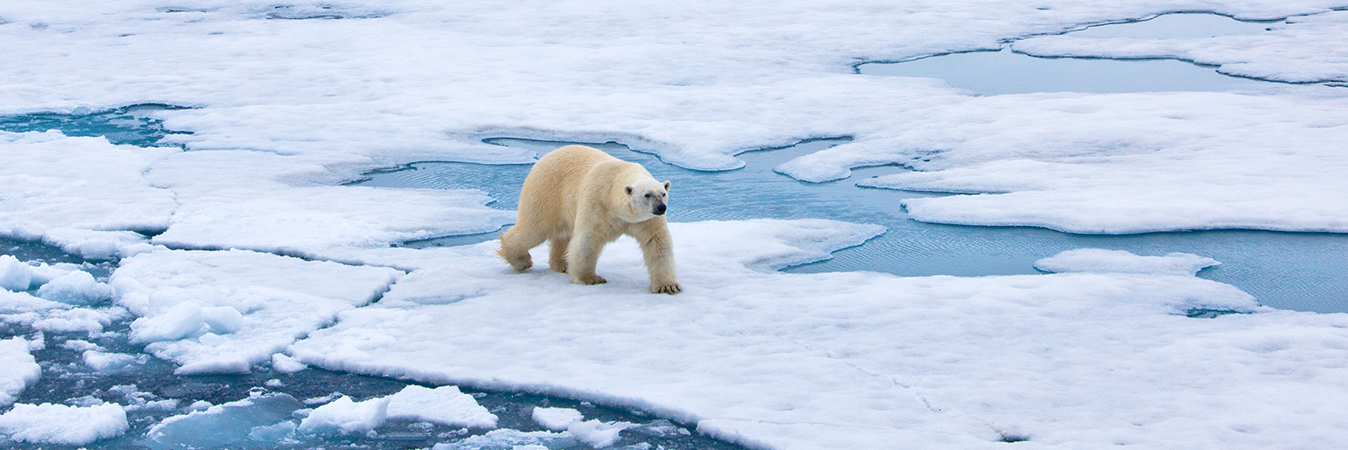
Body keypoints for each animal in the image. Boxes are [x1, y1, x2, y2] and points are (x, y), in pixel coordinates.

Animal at [498, 144, 679, 295]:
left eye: (663, 193)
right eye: (647, 195)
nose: (661, 207)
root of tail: (544, 158)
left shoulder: (646, 220)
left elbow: (657, 242)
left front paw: (667, 286)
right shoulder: (597, 202)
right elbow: (588, 239)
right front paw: (590, 279)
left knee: (562, 234)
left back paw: (563, 264)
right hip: (546, 193)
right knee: (534, 228)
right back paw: (521, 260)